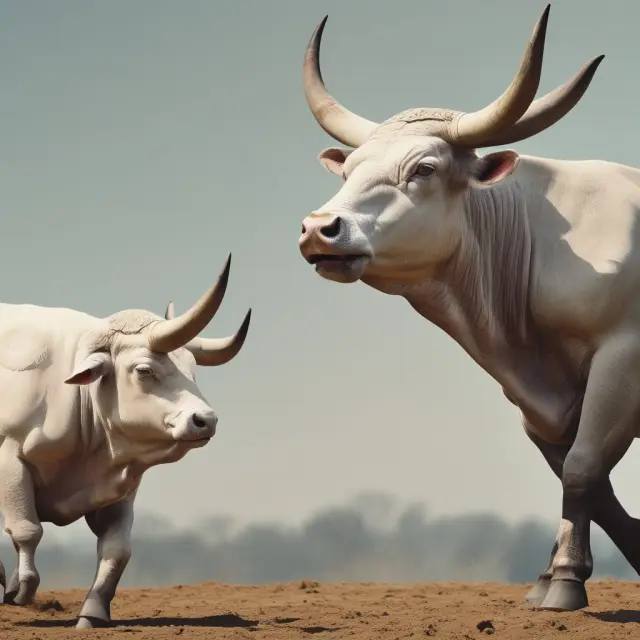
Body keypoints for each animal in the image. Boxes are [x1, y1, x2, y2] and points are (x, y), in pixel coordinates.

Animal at [0, 254, 250, 628]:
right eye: (145, 370)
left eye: (193, 369)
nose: (205, 420)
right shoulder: (11, 461)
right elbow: (27, 529)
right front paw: (20, 589)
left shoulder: (121, 484)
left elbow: (117, 549)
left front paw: (92, 614)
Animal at [297, 4, 640, 612]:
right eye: (349, 170)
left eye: (424, 168)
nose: (320, 229)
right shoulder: (536, 399)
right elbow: (584, 479)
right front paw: (557, 573)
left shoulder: (621, 360)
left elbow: (581, 469)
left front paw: (566, 582)